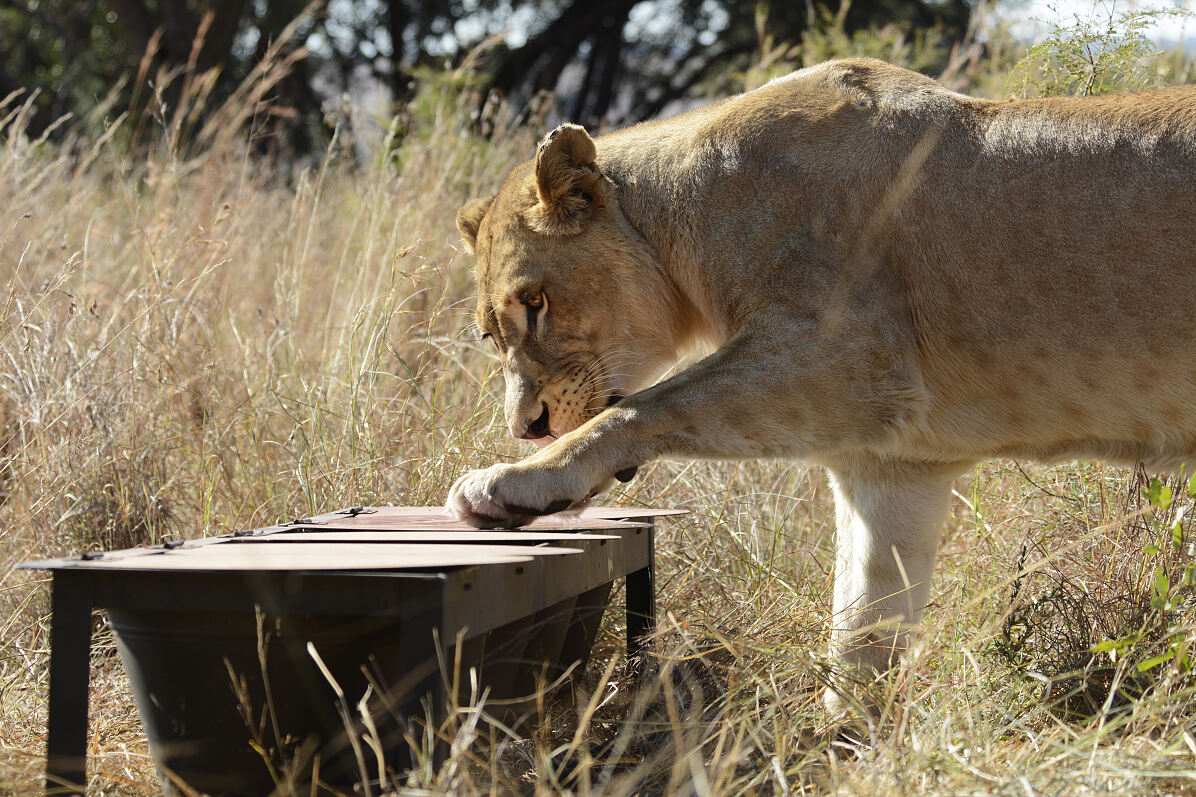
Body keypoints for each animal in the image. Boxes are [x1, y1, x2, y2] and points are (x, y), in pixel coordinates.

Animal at [447, 57, 1196, 712]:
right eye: (488, 333)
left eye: (535, 302)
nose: (527, 426)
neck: (684, 223)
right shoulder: (894, 465)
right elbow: (862, 630)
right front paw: (842, 749)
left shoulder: (849, 359)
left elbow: (649, 406)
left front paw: (517, 481)